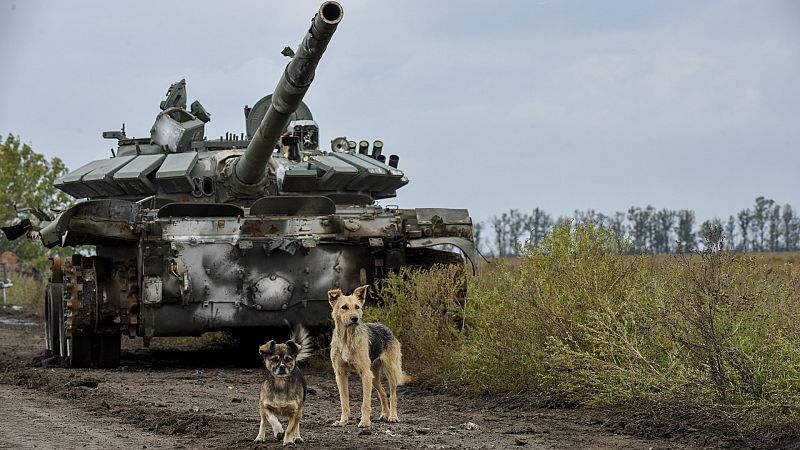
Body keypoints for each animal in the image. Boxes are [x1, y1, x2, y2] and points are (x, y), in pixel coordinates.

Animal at [328, 286, 410, 428]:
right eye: (344, 307)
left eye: (357, 307)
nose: (355, 318)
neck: (347, 339)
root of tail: (385, 327)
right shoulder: (340, 374)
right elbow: (344, 402)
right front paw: (343, 421)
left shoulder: (365, 374)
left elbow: (365, 403)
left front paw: (365, 422)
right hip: (374, 378)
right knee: (383, 393)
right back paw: (385, 414)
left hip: (390, 372)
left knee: (393, 396)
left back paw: (393, 417)